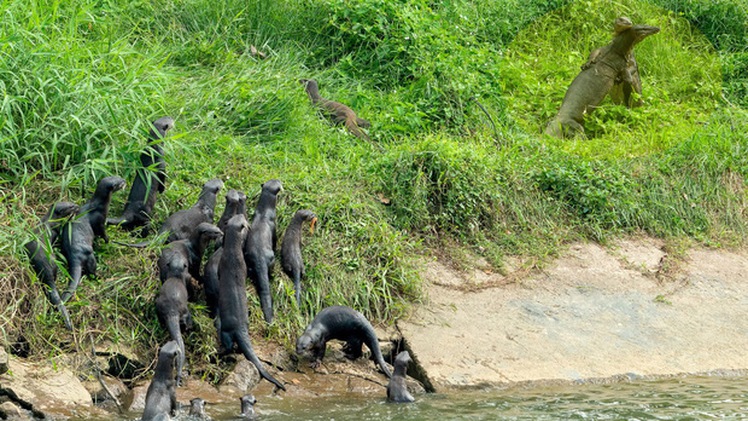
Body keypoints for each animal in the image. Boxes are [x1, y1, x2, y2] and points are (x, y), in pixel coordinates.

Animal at [23, 202, 79, 330]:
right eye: (71, 206)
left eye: (71, 203)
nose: (77, 206)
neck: (49, 220)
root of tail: (45, 268)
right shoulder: (55, 229)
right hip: (52, 261)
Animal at [219, 213, 286, 390]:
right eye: (238, 216)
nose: (243, 214)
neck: (232, 254)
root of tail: (240, 328)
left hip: (226, 331)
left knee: (228, 345)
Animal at [244, 179, 282, 324]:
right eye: (279, 181)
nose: (280, 179)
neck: (264, 213)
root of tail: (259, 258)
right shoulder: (274, 227)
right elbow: (276, 241)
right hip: (271, 259)